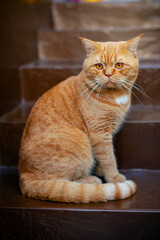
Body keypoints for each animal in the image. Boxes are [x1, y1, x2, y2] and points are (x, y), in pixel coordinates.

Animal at [18, 34, 142, 202]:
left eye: (119, 65)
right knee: (61, 182)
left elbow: (103, 156)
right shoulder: (100, 133)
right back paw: (90, 180)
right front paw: (113, 177)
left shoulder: (107, 132)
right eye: (99, 66)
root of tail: (24, 175)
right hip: (80, 141)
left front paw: (101, 170)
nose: (108, 74)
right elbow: (109, 158)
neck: (116, 96)